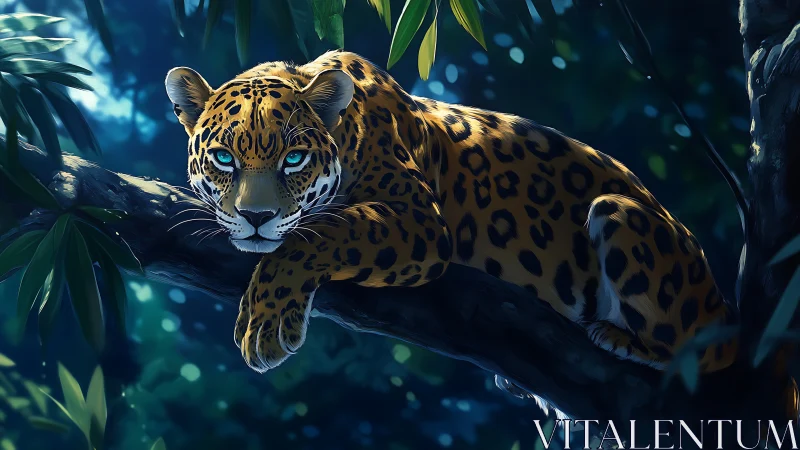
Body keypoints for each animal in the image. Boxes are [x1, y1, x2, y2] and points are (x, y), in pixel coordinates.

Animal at [164, 50, 738, 377]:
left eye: (294, 159)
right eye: (224, 158)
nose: (256, 217)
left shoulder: (419, 219)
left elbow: (324, 230)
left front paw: (264, 322)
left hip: (619, 211)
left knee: (694, 352)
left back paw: (619, 337)